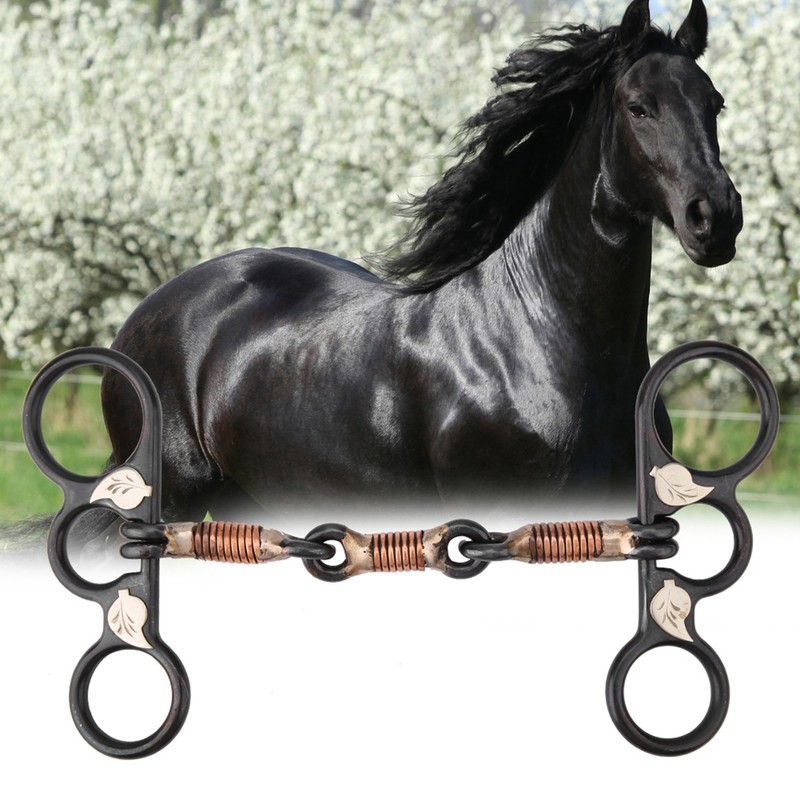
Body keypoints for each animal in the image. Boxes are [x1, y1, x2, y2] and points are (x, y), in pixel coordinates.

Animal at [101, 0, 742, 525]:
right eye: (639, 107)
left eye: (715, 103)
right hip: (175, 498)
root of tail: (142, 317)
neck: (536, 343)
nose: (716, 218)